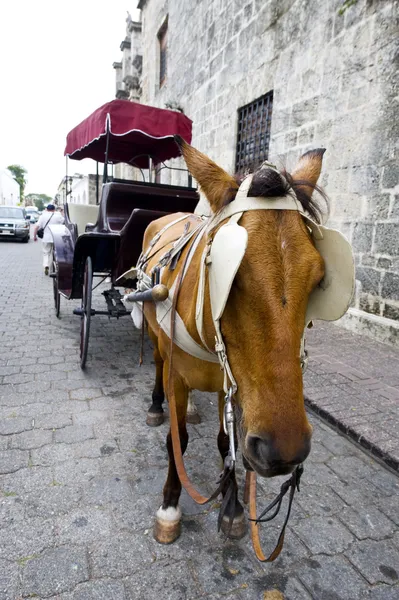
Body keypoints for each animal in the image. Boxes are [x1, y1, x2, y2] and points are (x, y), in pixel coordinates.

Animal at [139, 139, 326, 544]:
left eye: (320, 278)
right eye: (230, 275)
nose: (285, 449)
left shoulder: (238, 385)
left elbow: (230, 445)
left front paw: (233, 505)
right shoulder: (178, 375)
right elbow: (177, 440)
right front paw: (170, 505)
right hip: (154, 334)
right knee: (158, 365)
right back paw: (157, 405)